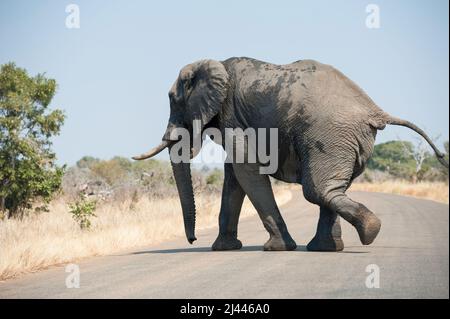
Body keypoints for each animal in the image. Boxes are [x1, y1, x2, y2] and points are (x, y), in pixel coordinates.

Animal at [132, 57, 448, 252]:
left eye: (173, 100)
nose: (193, 238)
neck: (214, 64)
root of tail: (375, 110)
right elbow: (234, 176)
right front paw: (223, 249)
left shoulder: (232, 115)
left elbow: (246, 170)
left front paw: (276, 248)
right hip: (346, 139)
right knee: (331, 189)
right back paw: (327, 248)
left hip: (329, 133)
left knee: (317, 189)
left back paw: (368, 232)